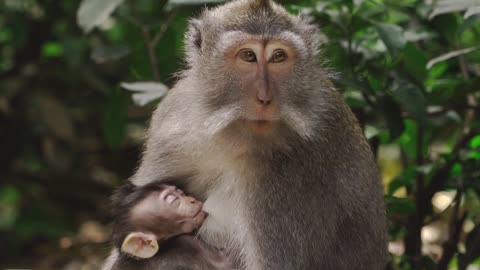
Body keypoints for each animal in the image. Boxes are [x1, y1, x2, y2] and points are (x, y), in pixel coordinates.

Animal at [102, 0, 386, 268]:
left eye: (278, 57)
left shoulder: (288, 177)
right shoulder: (173, 121)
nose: (265, 98)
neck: (232, 132)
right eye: (248, 56)